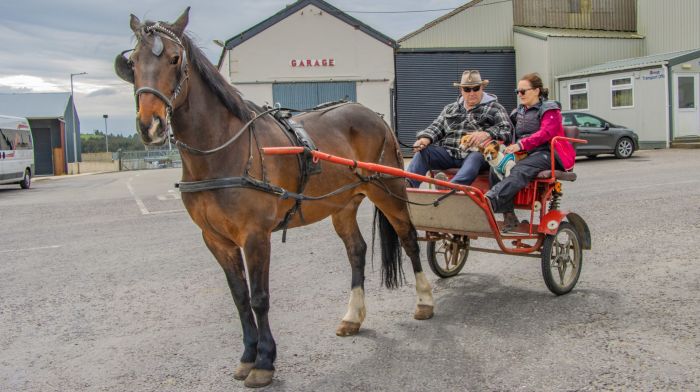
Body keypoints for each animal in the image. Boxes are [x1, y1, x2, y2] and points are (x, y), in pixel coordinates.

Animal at [115, 7, 432, 388]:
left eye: (175, 59)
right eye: (132, 62)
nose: (150, 125)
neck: (224, 150)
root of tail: (375, 115)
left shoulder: (255, 235)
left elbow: (259, 298)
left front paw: (264, 361)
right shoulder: (215, 239)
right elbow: (239, 298)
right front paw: (247, 356)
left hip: (389, 189)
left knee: (409, 238)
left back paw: (424, 301)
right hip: (342, 204)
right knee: (356, 251)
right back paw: (353, 316)